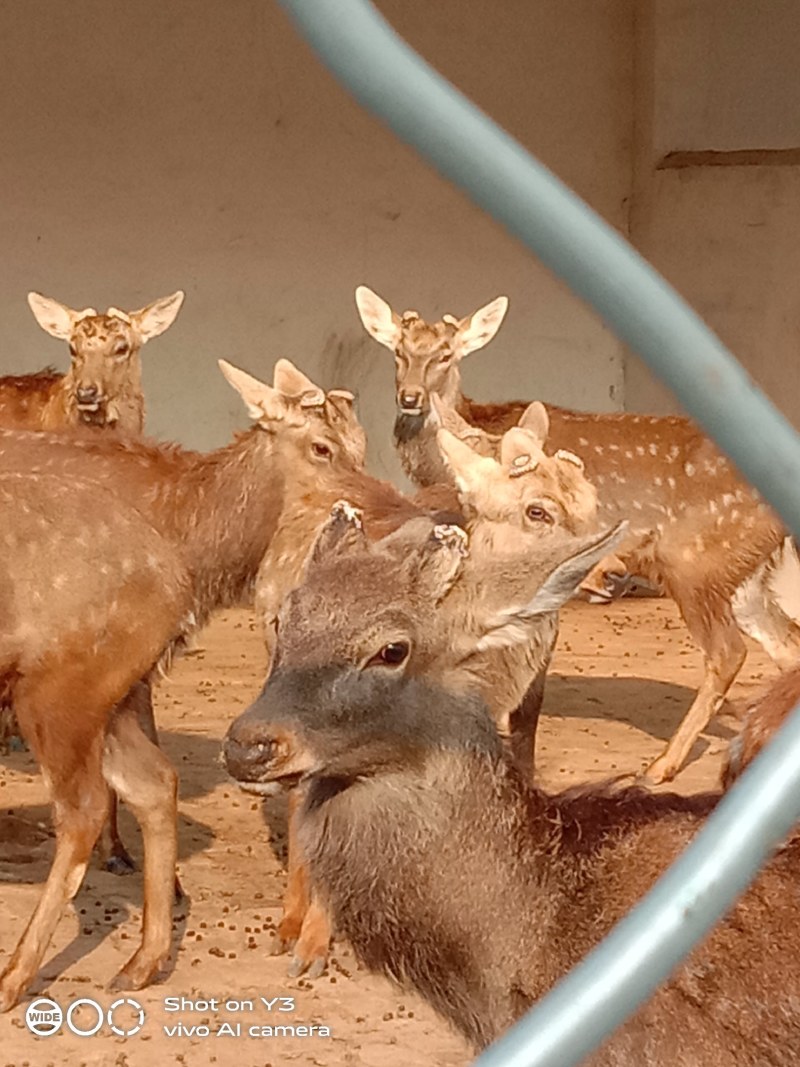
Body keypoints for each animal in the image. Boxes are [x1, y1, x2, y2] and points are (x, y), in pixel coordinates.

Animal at [355, 284, 800, 784]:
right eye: (398, 350)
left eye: (445, 354)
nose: (410, 397)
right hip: (744, 574)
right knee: (787, 646)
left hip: (695, 561)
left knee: (728, 653)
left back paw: (660, 766)